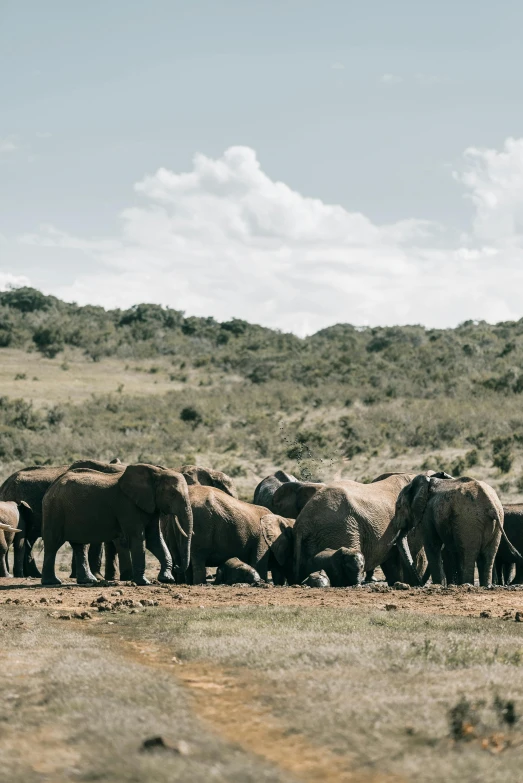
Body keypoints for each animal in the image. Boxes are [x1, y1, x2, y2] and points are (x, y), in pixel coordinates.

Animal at [41, 466, 192, 588]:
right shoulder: (127, 505)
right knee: (53, 543)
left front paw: (167, 579)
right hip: (54, 510)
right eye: (172, 494)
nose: (178, 567)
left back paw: (88, 581)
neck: (157, 473)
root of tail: (52, 486)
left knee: (80, 546)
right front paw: (144, 583)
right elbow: (138, 538)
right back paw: (52, 582)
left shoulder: (151, 507)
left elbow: (154, 539)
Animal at [164, 486, 294, 584]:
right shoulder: (261, 540)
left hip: (173, 525)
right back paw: (199, 583)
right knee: (198, 557)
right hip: (202, 523)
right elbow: (259, 564)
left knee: (180, 555)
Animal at [392, 472, 520, 588]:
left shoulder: (427, 513)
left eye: (398, 507)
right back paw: (485, 586)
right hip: (495, 521)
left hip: (468, 520)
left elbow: (432, 545)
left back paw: (467, 584)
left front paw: (438, 585)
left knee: (469, 553)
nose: (419, 584)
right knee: (488, 555)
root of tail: (491, 505)